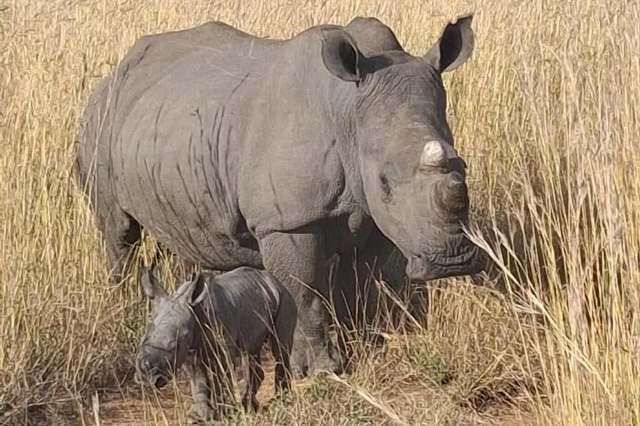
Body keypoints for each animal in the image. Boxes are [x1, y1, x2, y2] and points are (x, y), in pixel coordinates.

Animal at [75, 14, 484, 377]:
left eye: (463, 167)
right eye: (384, 182)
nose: (453, 261)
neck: (349, 112)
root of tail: (111, 74)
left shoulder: (376, 217)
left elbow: (360, 285)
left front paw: (361, 346)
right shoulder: (285, 221)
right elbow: (304, 291)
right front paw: (320, 371)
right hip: (101, 121)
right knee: (118, 231)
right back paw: (124, 309)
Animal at [135, 266, 296, 421]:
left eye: (174, 346)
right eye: (143, 339)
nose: (147, 376)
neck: (195, 310)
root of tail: (275, 281)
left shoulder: (221, 348)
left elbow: (220, 377)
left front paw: (222, 413)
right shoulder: (190, 350)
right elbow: (198, 379)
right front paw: (199, 416)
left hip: (285, 297)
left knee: (279, 350)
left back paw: (281, 402)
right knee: (251, 351)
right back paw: (250, 406)